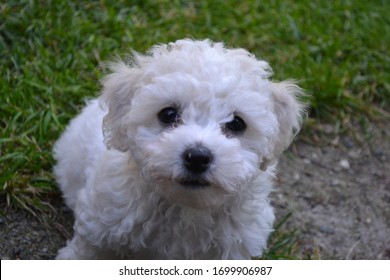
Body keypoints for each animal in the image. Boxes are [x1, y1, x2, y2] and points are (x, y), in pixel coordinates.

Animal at [54, 38, 304, 260]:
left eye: (236, 123)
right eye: (168, 114)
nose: (197, 157)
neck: (185, 208)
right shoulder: (100, 221)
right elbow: (87, 252)